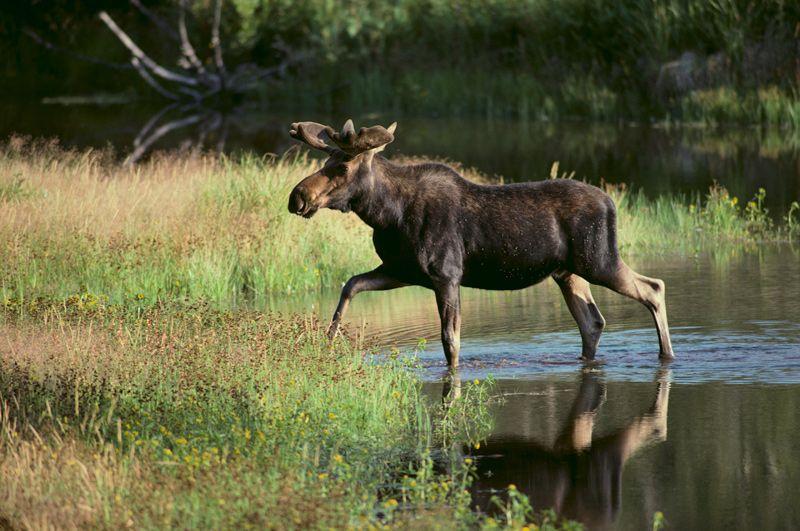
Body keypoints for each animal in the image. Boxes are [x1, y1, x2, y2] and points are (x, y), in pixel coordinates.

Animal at [288, 118, 676, 368]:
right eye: (325, 160)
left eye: (341, 167)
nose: (297, 197)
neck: (386, 214)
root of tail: (612, 203)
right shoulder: (402, 270)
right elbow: (350, 285)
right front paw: (329, 339)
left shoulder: (445, 274)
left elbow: (451, 340)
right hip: (568, 272)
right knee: (593, 322)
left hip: (599, 260)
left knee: (654, 287)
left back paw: (666, 356)